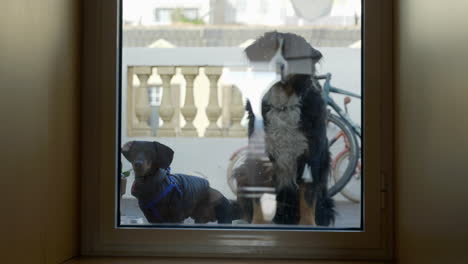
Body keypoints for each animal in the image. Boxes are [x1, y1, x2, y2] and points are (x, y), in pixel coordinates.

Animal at [241, 32, 336, 226]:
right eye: (268, 51)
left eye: (291, 53)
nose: (278, 66)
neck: (282, 106)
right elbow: (258, 194)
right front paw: (258, 222)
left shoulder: (312, 154)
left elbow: (307, 196)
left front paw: (308, 225)